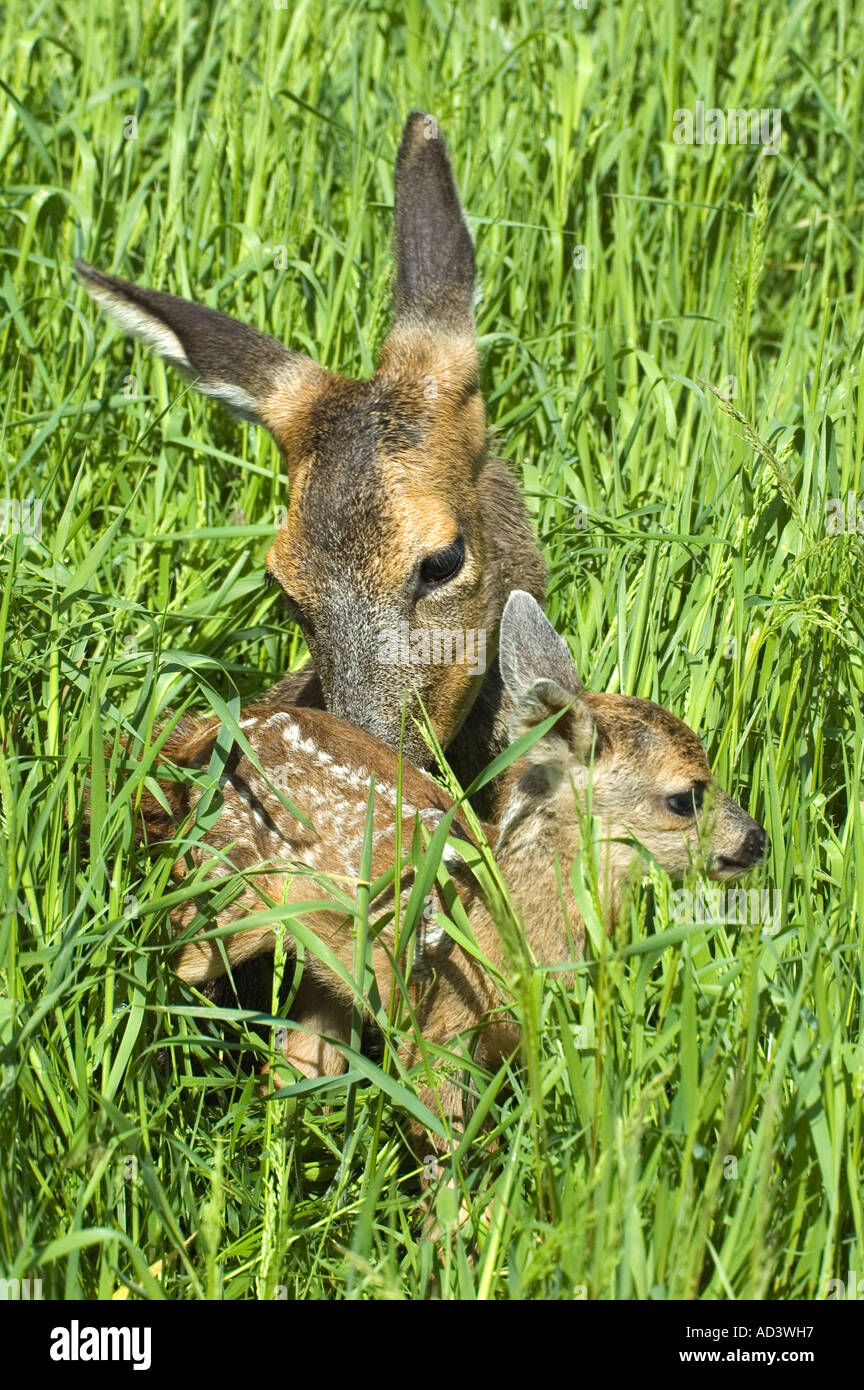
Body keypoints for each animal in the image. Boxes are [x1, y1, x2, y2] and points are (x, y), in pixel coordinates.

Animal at [149, 592, 769, 1151]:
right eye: (686, 797)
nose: (758, 841)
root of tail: (210, 730)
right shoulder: (438, 1029)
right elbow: (452, 1153)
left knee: (297, 1063)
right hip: (222, 887)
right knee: (169, 958)